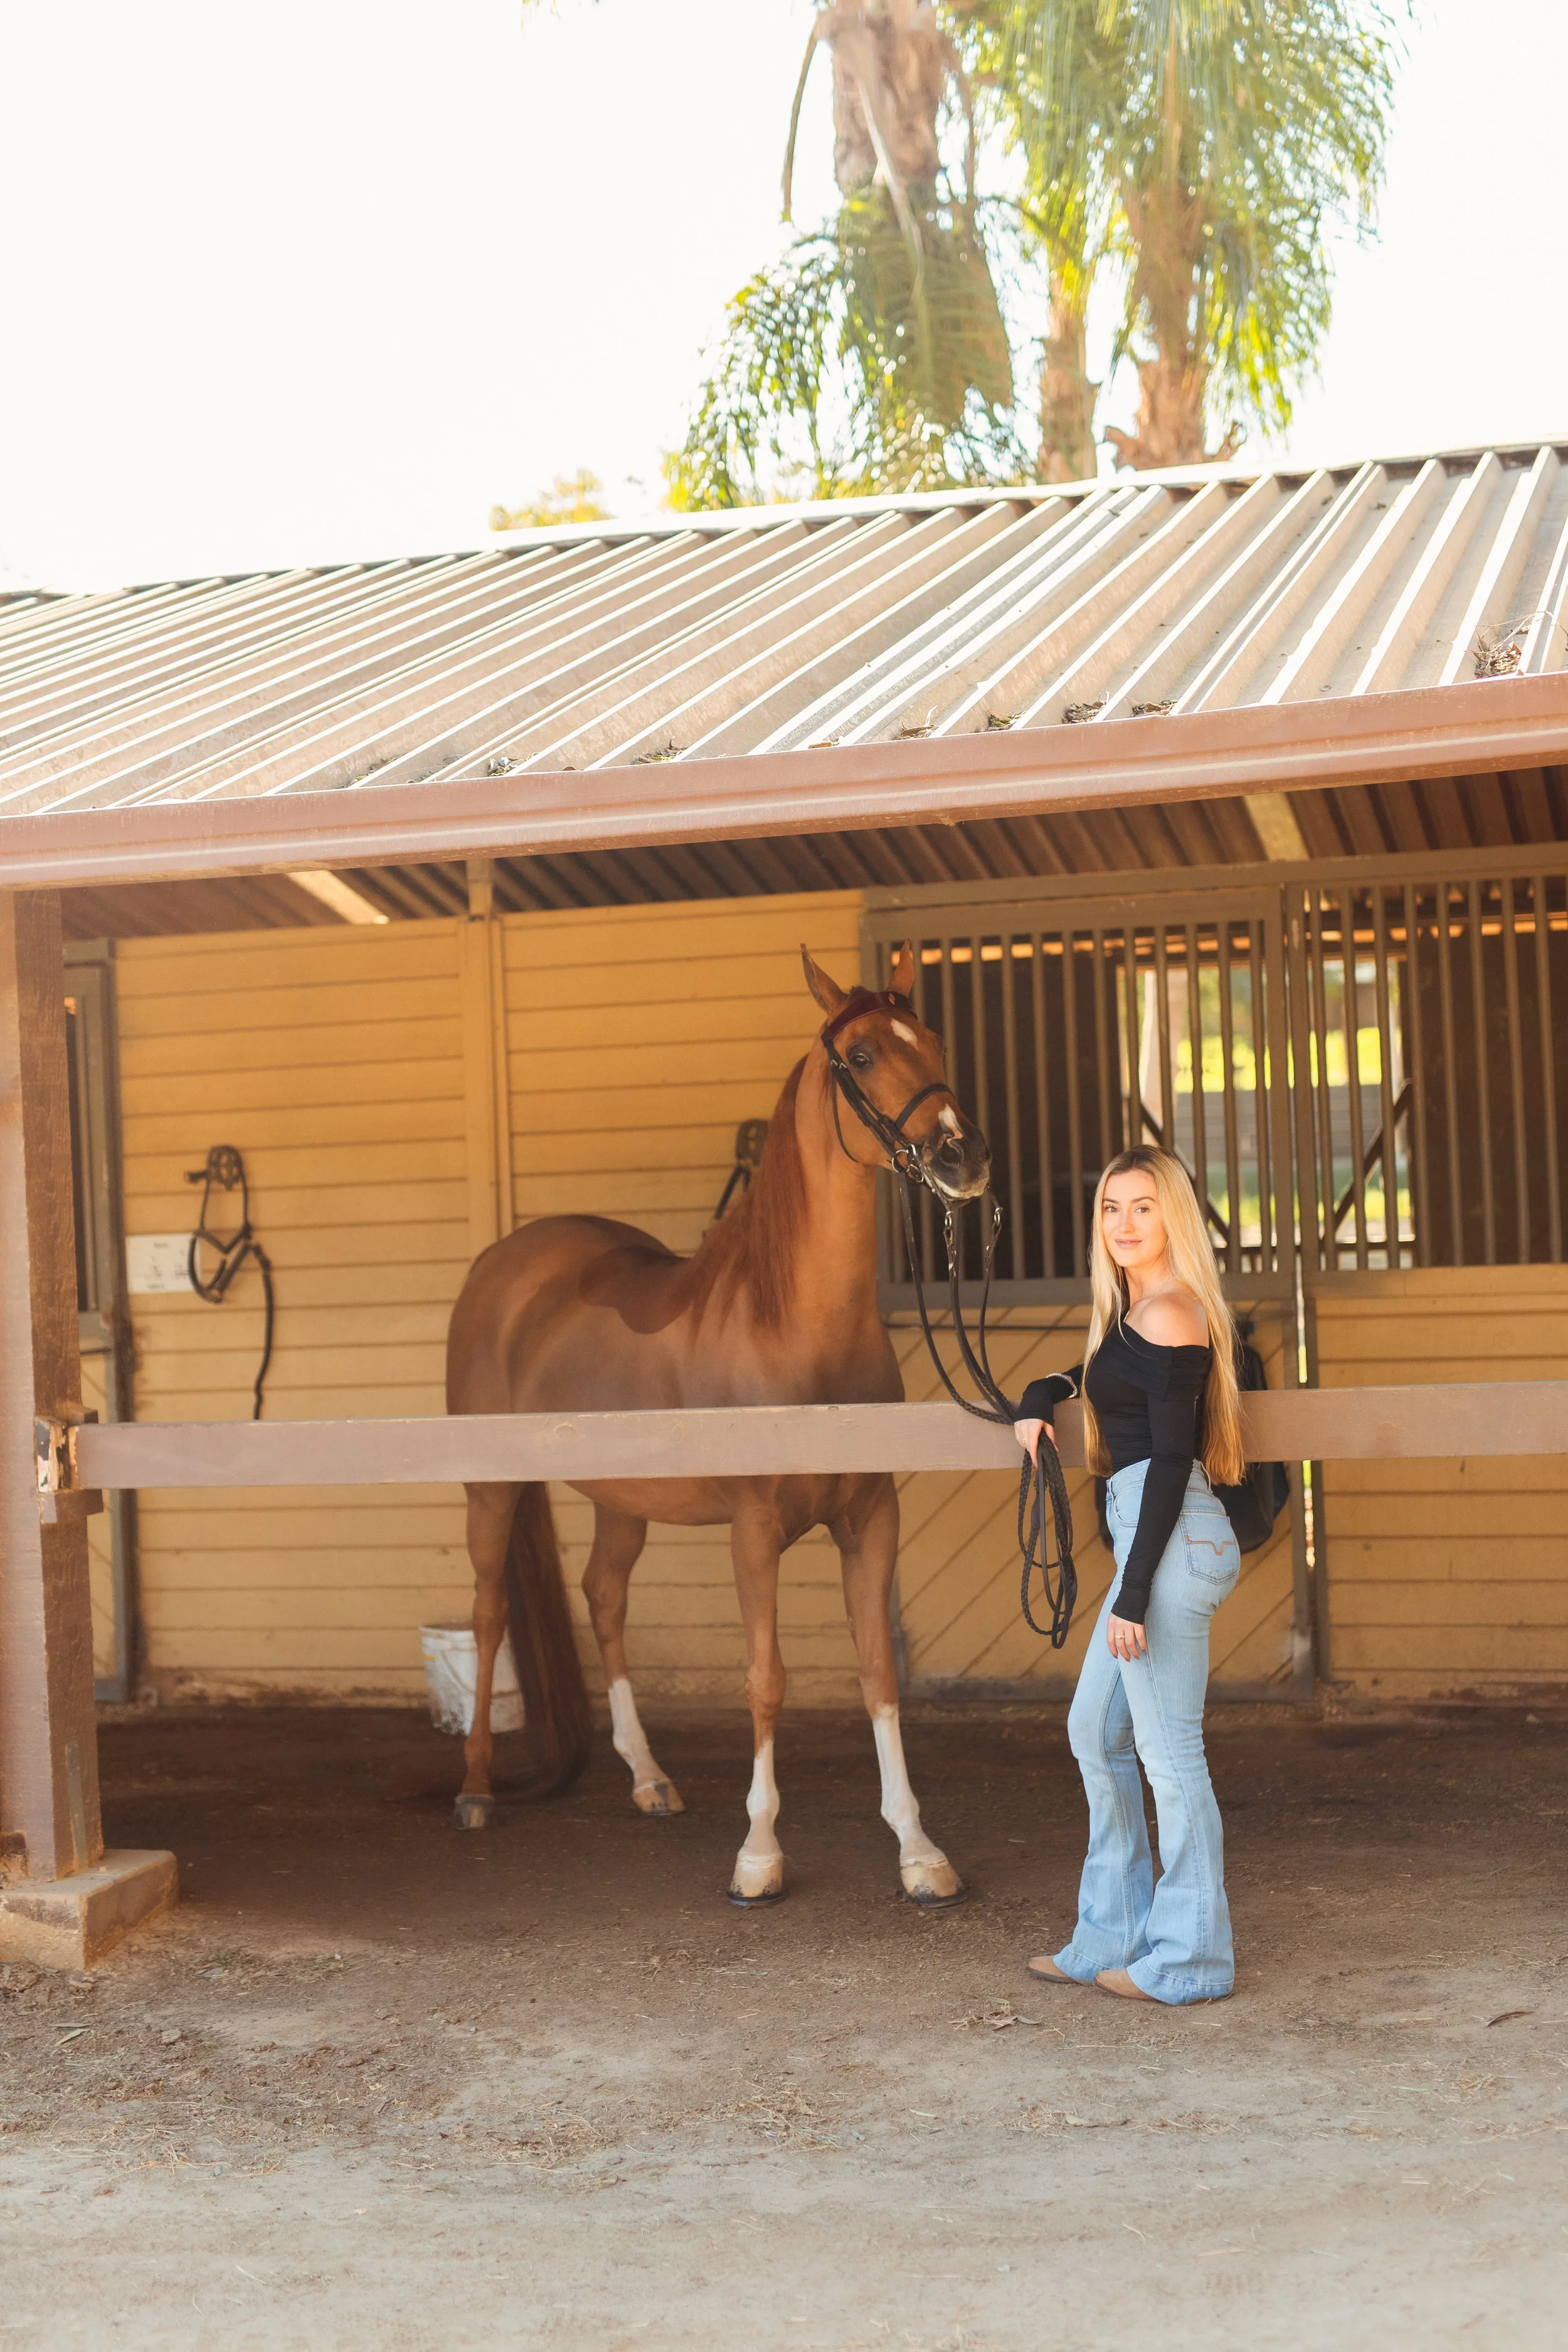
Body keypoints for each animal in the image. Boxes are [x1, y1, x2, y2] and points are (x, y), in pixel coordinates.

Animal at [443, 942, 992, 1904]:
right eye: (861, 1057)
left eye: (929, 1040)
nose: (963, 1155)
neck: (795, 1327)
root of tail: (500, 1266)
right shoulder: (754, 1530)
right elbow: (765, 1680)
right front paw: (758, 1856)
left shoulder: (870, 1520)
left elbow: (878, 1673)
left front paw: (919, 1850)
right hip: (491, 1491)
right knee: (487, 1614)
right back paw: (476, 1789)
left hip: (622, 1501)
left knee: (605, 1596)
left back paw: (648, 1778)